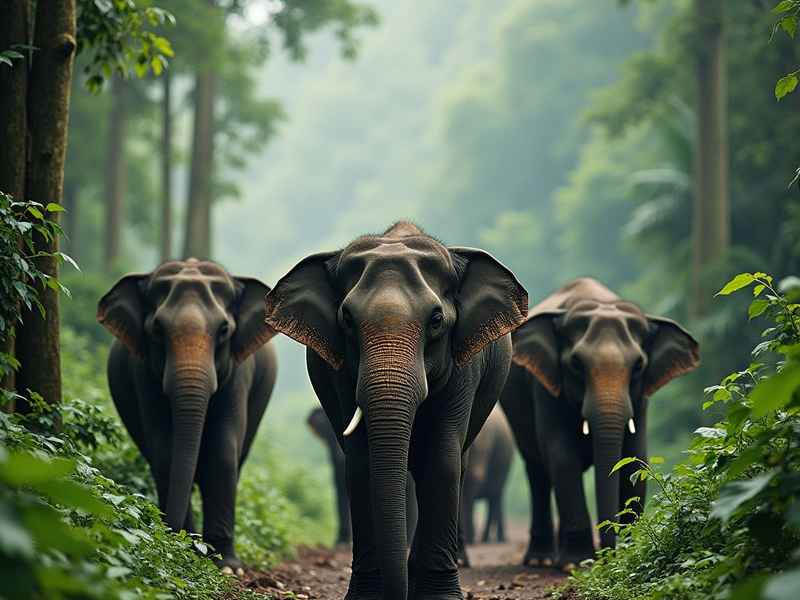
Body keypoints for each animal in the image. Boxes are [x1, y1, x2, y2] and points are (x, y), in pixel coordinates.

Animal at [97, 259, 277, 573]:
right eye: (157, 329)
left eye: (224, 329)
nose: (168, 540)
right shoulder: (142, 373)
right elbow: (165, 450)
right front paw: (190, 551)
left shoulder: (239, 373)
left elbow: (222, 451)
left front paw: (227, 566)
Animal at [500, 277, 699, 570]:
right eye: (576, 364)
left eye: (638, 366)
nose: (610, 556)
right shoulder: (544, 386)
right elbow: (562, 456)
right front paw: (577, 564)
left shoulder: (641, 397)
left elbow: (635, 457)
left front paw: (625, 554)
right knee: (538, 470)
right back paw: (542, 561)